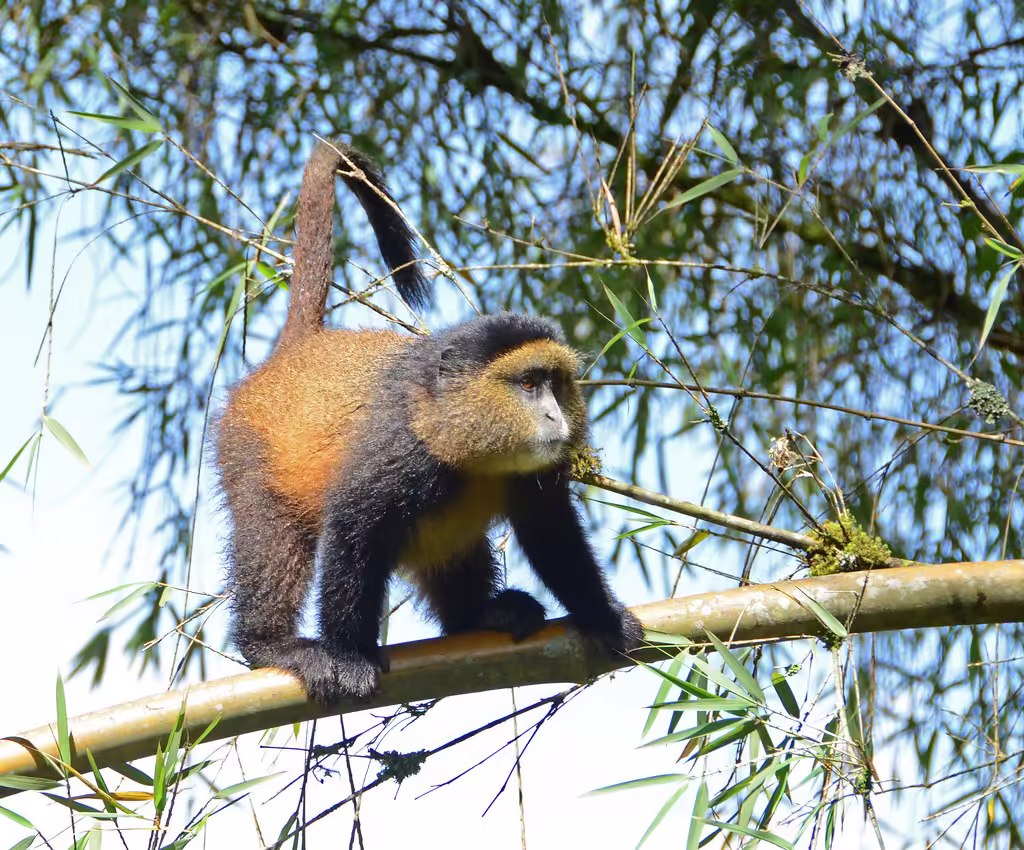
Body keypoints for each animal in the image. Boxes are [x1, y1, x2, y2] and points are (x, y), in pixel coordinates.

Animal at [215, 139, 644, 703]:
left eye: (555, 383)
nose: (555, 415)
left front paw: (603, 615)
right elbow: (352, 529)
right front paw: (348, 656)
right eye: (528, 385)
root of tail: (296, 353)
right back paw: (272, 645)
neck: (463, 439)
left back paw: (477, 617)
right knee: (272, 541)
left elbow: (551, 531)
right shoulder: (401, 455)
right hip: (247, 455)